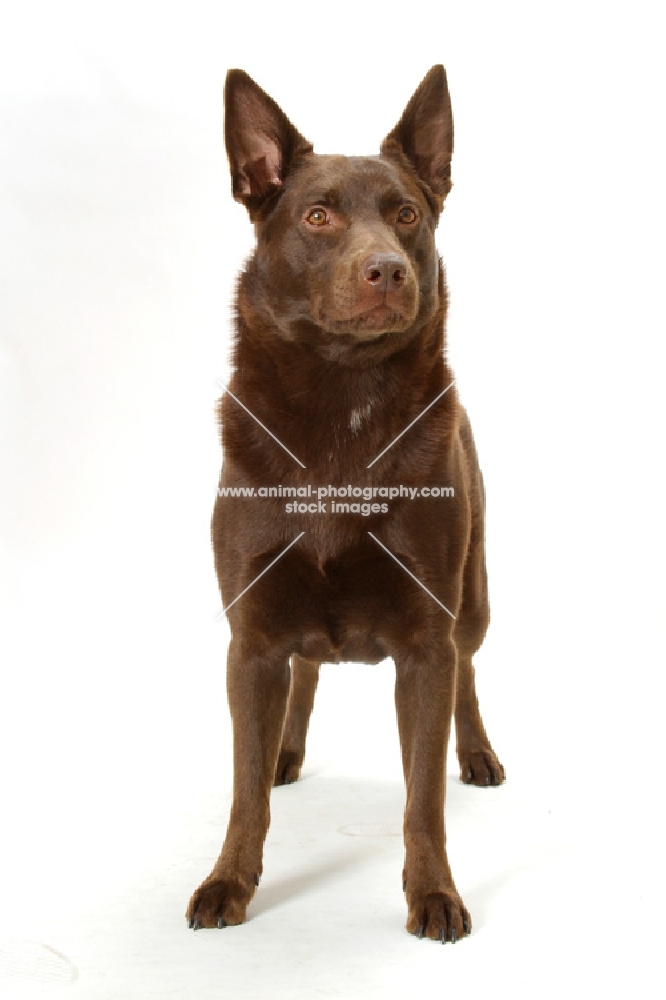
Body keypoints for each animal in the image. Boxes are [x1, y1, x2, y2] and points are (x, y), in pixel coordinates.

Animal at [184, 66, 500, 940]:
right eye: (317, 215)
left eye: (407, 215)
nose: (387, 269)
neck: (341, 398)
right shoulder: (251, 635)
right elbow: (244, 791)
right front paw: (229, 880)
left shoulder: (425, 640)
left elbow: (423, 800)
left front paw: (435, 893)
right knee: (306, 673)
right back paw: (288, 753)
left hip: (473, 594)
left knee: (468, 665)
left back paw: (475, 752)